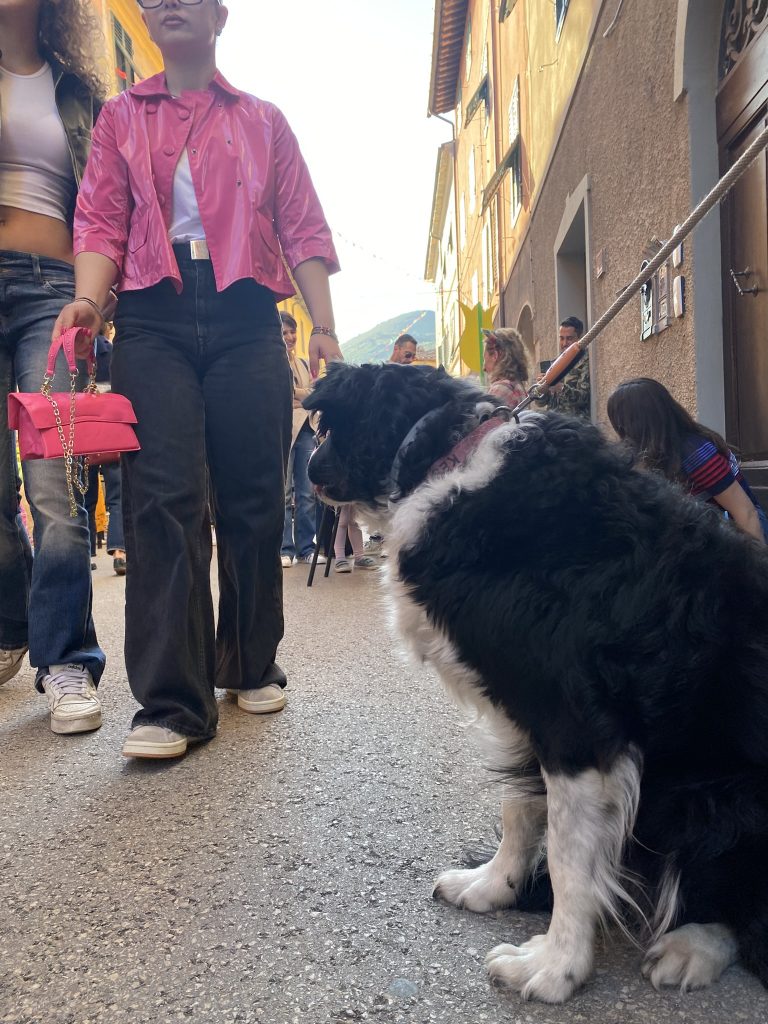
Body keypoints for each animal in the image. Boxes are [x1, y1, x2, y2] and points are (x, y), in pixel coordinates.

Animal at [304, 362, 768, 1004]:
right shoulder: (522, 714)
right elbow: (520, 811)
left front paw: (556, 965)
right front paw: (495, 885)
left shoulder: (576, 726)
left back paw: (691, 946)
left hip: (722, 800)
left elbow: (571, 857)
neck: (448, 459)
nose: (307, 465)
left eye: (325, 425)